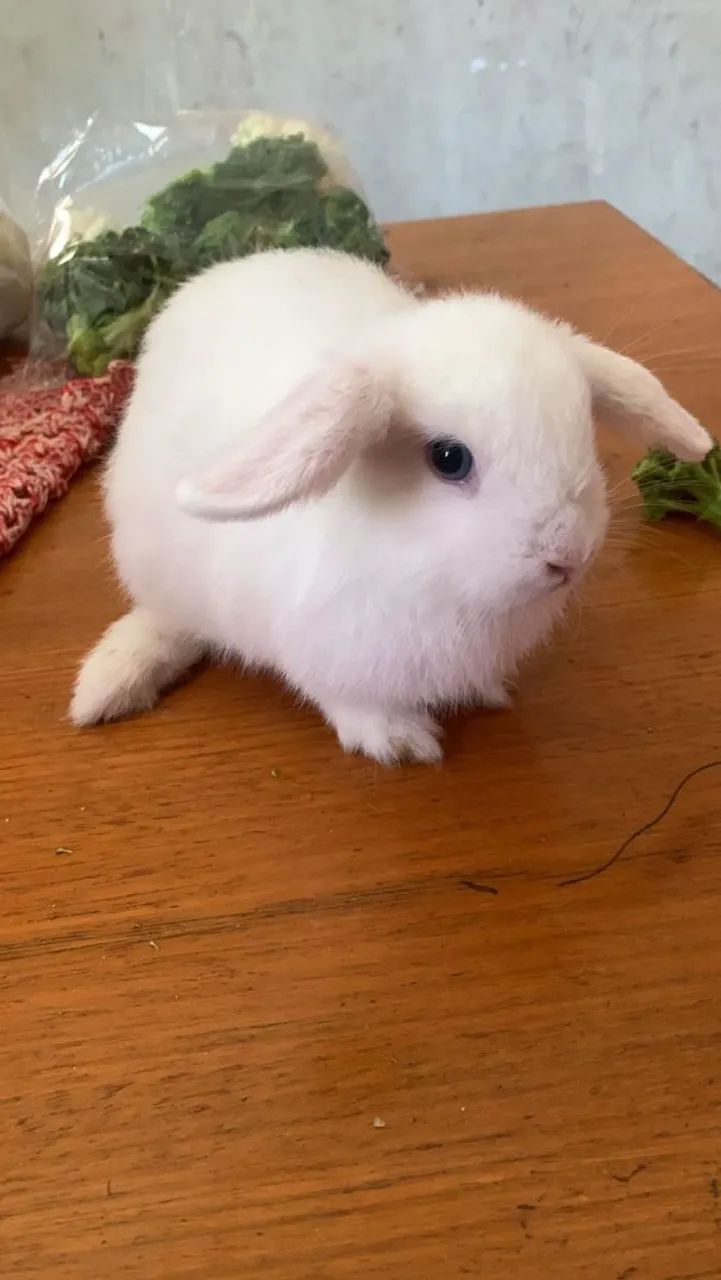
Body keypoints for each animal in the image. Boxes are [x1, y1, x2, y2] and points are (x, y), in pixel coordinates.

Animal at [70, 247, 711, 763]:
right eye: (449, 459)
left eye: (583, 431)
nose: (568, 553)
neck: (434, 579)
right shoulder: (323, 654)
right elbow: (347, 700)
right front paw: (402, 744)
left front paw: (487, 693)